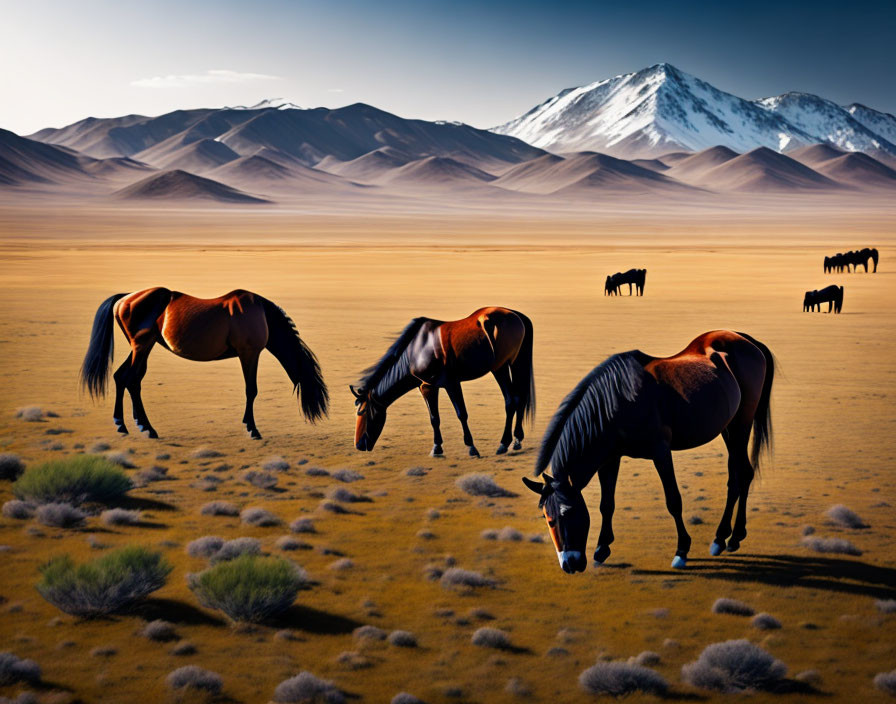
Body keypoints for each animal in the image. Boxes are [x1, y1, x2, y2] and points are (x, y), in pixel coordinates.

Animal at [81, 288, 328, 438]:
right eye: (317, 394)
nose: (318, 416)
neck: (262, 314)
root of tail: (125, 298)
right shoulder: (249, 354)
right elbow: (251, 390)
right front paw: (252, 428)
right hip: (141, 347)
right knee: (128, 379)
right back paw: (135, 426)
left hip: (142, 348)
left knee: (127, 379)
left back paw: (135, 425)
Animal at [350, 308, 532, 456]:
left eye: (362, 412)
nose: (358, 445)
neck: (416, 351)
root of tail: (515, 314)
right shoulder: (427, 387)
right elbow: (434, 418)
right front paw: (436, 448)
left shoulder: (451, 384)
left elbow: (461, 414)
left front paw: (471, 448)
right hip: (512, 364)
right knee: (519, 399)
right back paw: (516, 441)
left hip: (501, 367)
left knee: (511, 400)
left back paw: (504, 444)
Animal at [524, 330, 768, 572]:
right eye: (547, 518)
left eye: (566, 513)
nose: (569, 564)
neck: (617, 402)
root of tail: (743, 339)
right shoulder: (610, 458)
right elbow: (606, 504)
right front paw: (602, 549)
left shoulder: (660, 453)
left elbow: (673, 500)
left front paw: (682, 551)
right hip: (728, 427)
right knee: (739, 473)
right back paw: (728, 537)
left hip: (741, 424)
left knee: (741, 475)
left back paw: (727, 537)